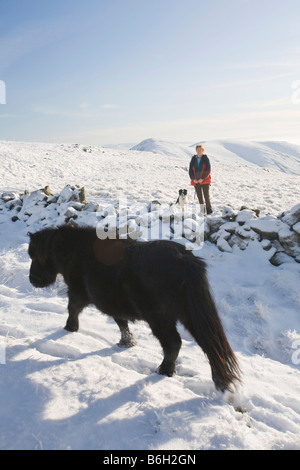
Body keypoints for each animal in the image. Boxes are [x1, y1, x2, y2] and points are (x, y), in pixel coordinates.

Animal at [27, 226, 240, 392]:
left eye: (34, 255)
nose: (33, 280)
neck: (74, 250)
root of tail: (186, 260)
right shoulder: (113, 302)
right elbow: (120, 321)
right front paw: (127, 342)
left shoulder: (78, 292)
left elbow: (72, 309)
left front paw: (69, 328)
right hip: (189, 316)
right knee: (209, 345)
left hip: (160, 319)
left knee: (174, 343)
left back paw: (165, 371)